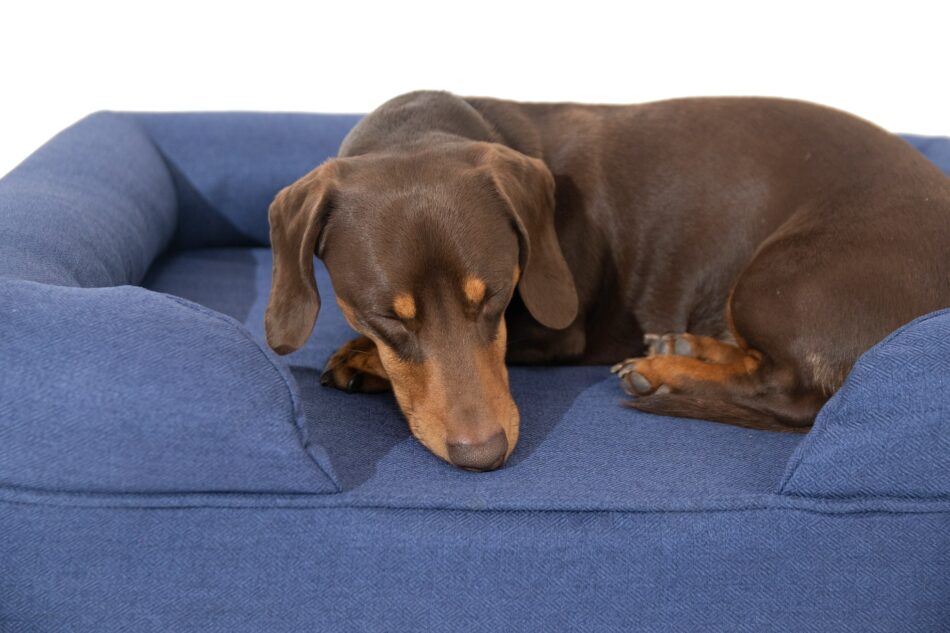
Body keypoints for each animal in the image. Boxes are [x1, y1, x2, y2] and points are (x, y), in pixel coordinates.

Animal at [262, 91, 950, 472]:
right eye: (387, 315)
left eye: (498, 296)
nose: (484, 457)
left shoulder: (556, 330)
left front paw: (360, 360)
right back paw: (684, 347)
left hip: (778, 280)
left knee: (790, 389)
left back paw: (667, 371)